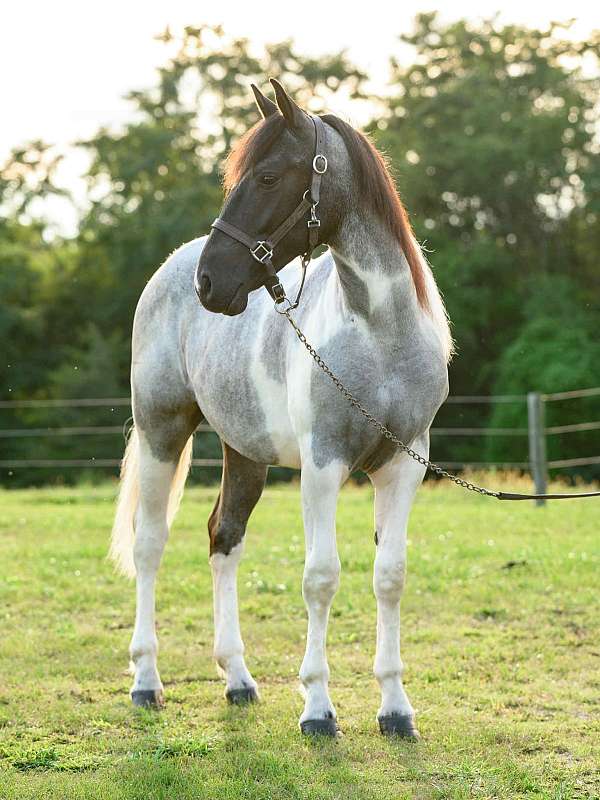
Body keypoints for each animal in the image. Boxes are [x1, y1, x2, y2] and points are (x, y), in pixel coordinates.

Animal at [110, 78, 452, 738]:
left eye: (268, 177)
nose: (210, 282)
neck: (380, 334)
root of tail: (167, 271)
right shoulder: (323, 465)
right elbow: (321, 579)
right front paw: (318, 708)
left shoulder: (404, 465)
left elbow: (389, 577)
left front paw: (396, 709)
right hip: (162, 430)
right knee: (150, 544)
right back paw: (145, 681)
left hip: (243, 453)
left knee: (224, 536)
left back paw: (239, 680)